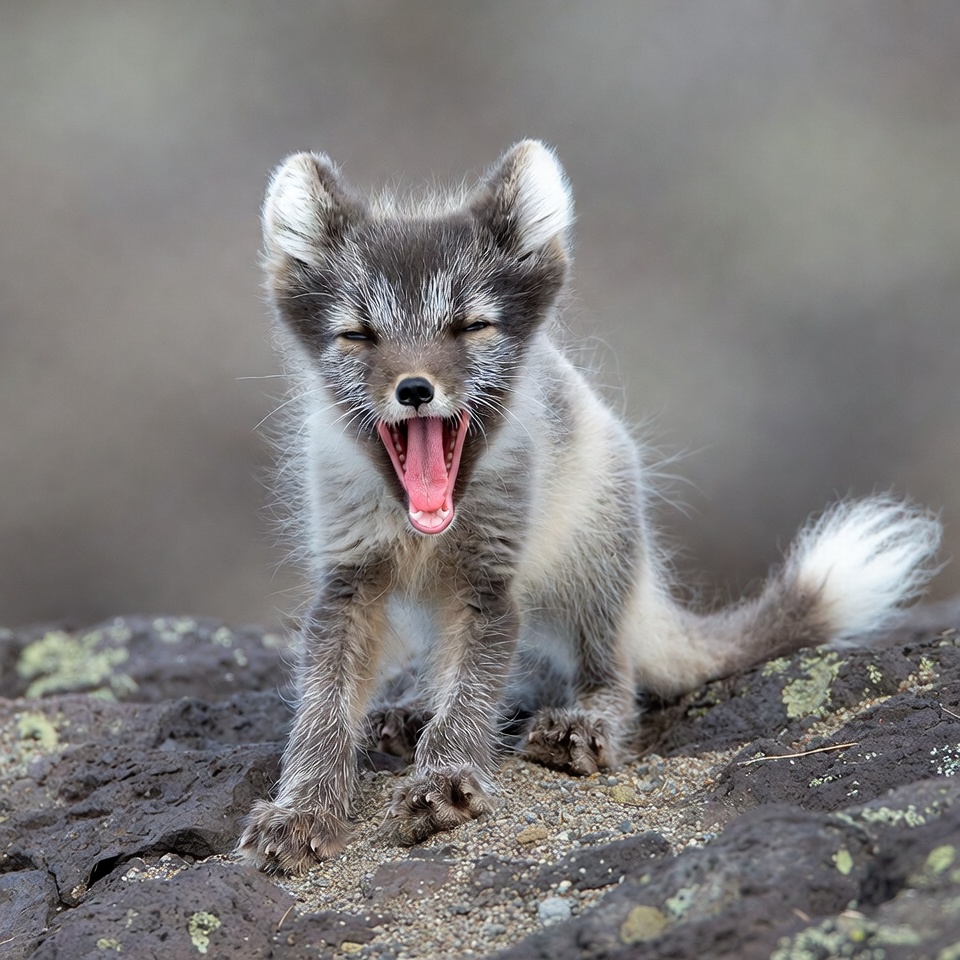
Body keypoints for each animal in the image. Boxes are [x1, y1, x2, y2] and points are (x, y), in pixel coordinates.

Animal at [237, 140, 942, 874]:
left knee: (612, 669)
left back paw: (582, 723)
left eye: (471, 326)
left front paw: (445, 782)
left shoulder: (490, 582)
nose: (414, 389)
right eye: (359, 335)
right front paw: (303, 811)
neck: (427, 533)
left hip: (597, 558)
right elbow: (323, 709)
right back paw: (410, 708)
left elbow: (472, 693)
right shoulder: (349, 580)